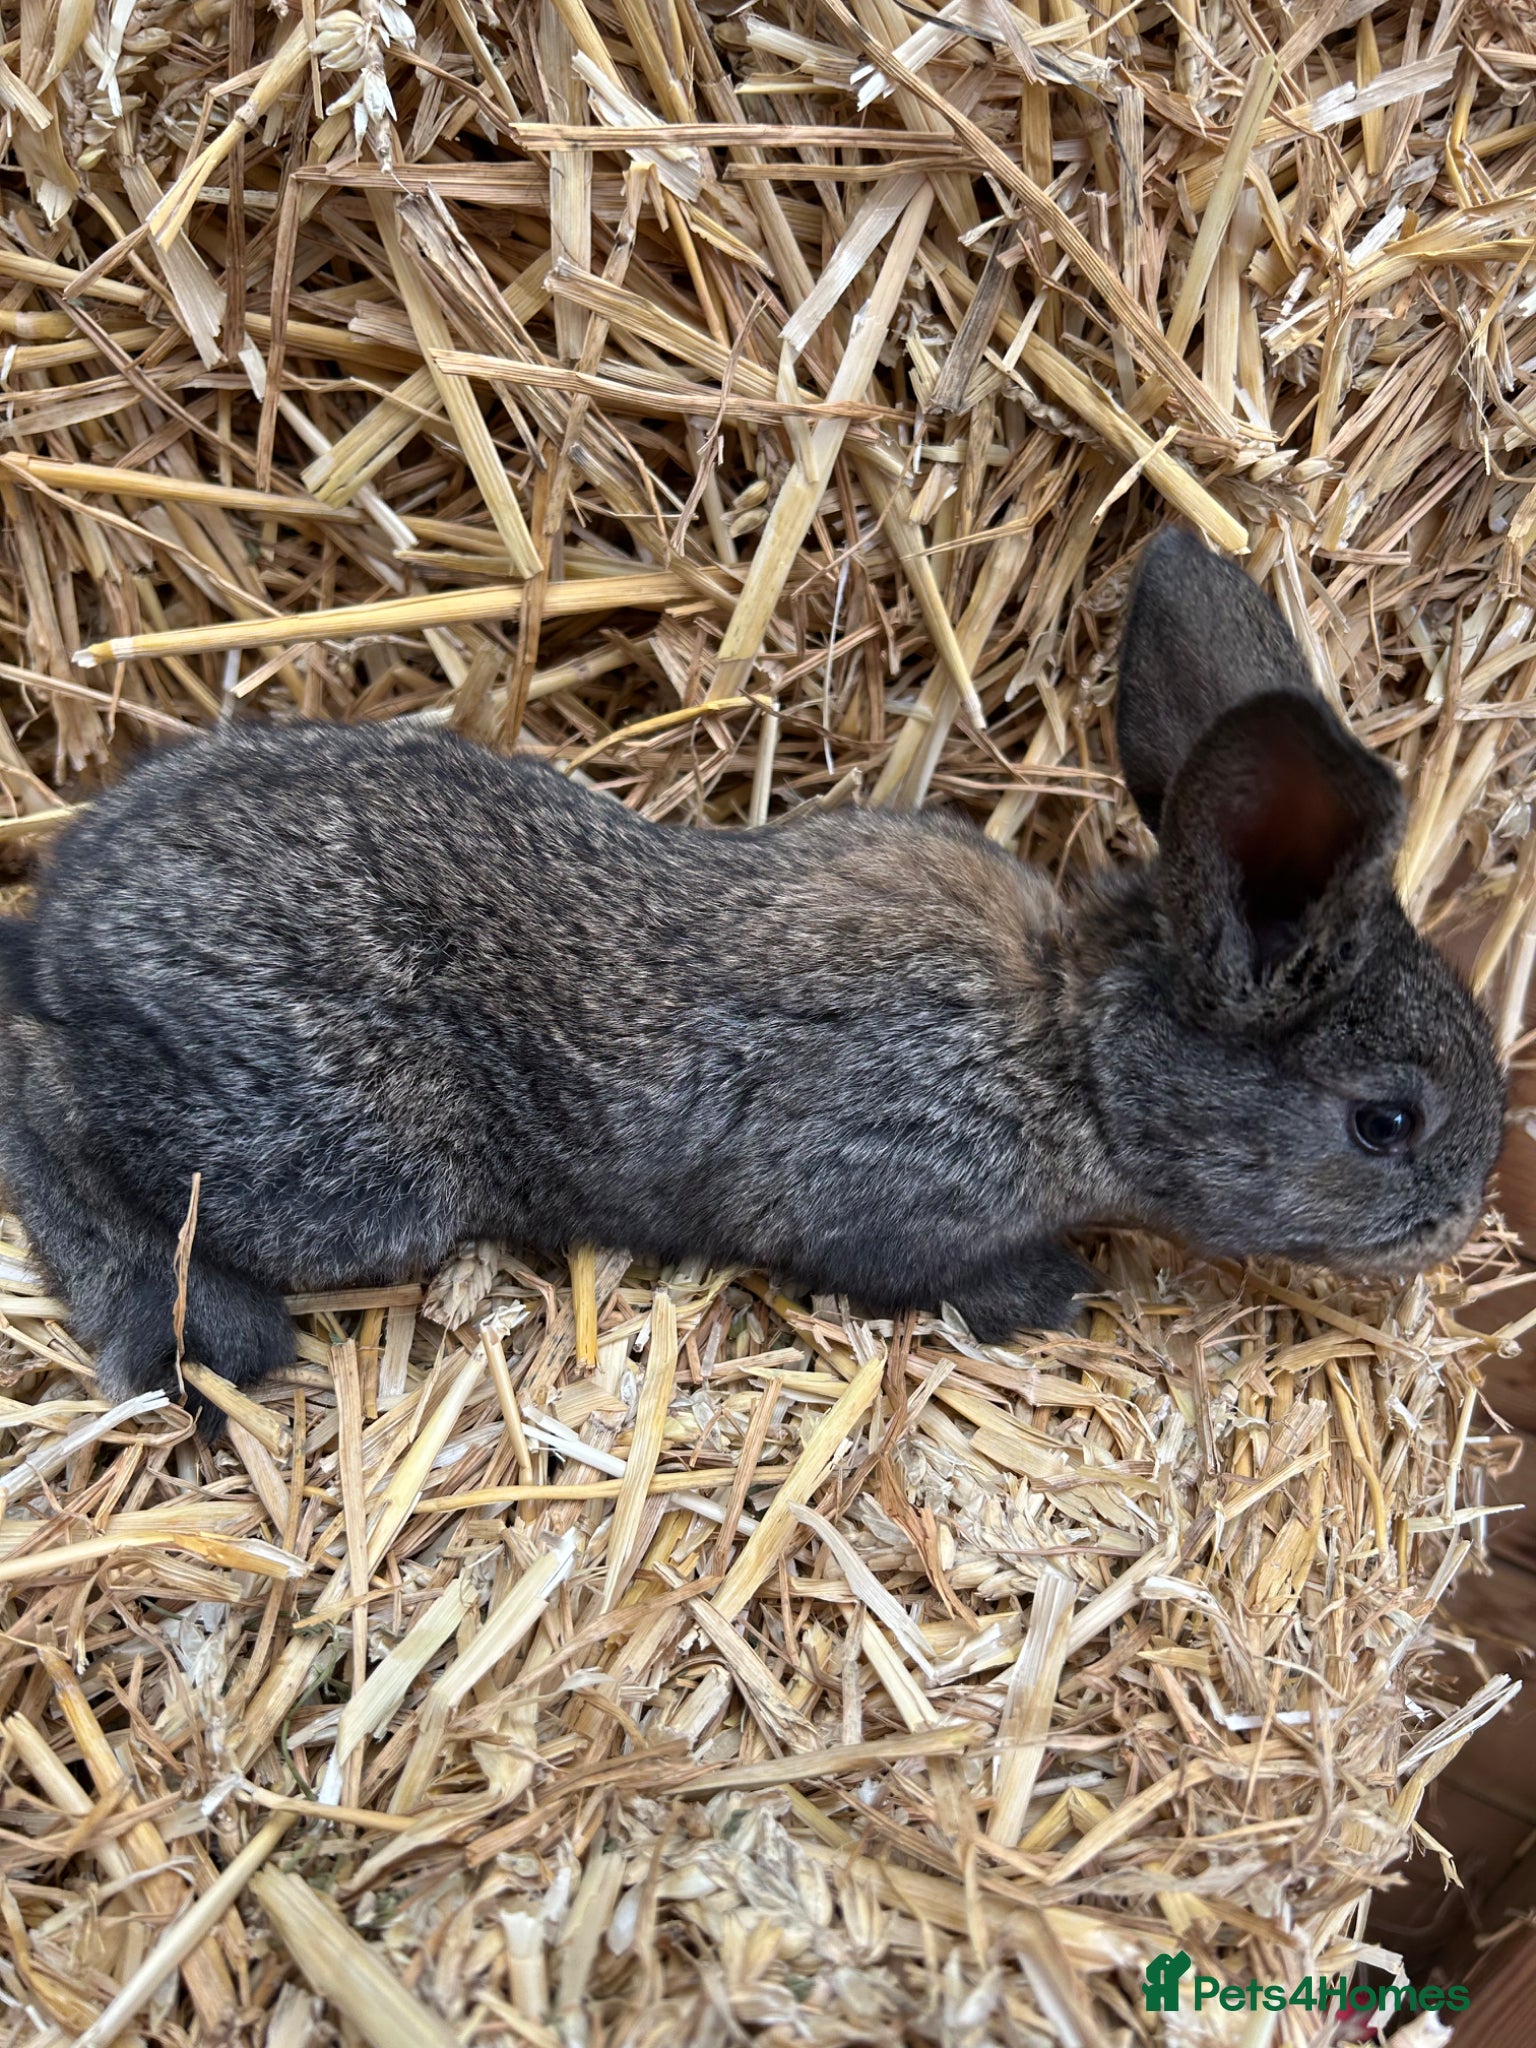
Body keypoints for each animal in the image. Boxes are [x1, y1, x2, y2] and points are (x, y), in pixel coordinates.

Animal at [0, 530, 1505, 1409]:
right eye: (1386, 1120)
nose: (1462, 1220)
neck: (1071, 1049)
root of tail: (67, 922)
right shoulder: (891, 1195)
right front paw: (1054, 1296)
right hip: (349, 1171)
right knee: (54, 1115)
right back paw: (193, 1328)